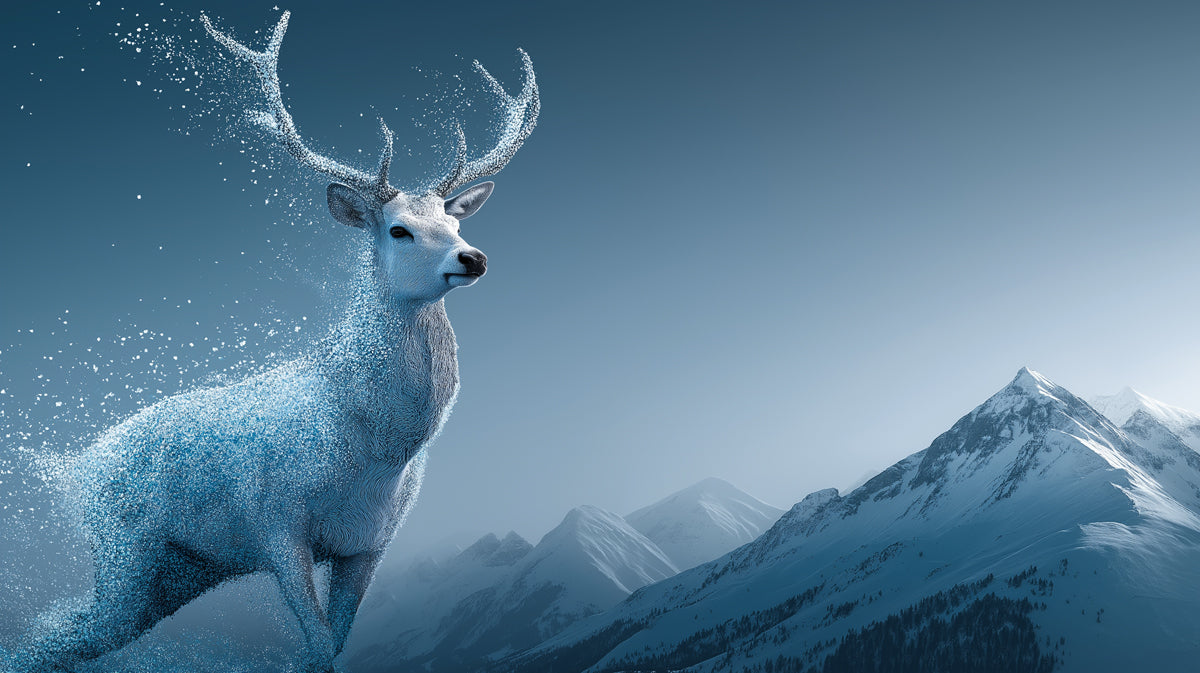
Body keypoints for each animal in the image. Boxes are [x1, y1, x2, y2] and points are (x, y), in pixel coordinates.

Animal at [10, 10, 537, 673]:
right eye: (399, 229)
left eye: (454, 221)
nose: (473, 258)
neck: (375, 452)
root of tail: (76, 468)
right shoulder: (276, 527)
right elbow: (317, 648)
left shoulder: (369, 544)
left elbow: (332, 645)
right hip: (125, 550)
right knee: (60, 632)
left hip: (178, 573)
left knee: (64, 636)